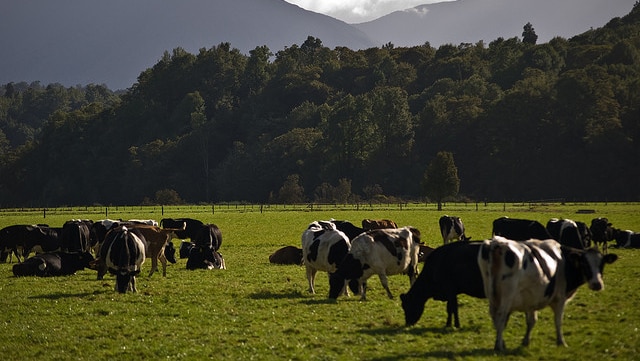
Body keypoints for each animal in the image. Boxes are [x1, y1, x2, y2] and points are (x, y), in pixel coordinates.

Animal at [478, 235, 616, 350]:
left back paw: (501, 343)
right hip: (507, 295)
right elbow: (558, 321)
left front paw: (525, 341)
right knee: (501, 316)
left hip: (493, 295)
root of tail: (498, 243)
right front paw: (561, 342)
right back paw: (499, 346)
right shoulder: (560, 298)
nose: (597, 284)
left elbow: (532, 321)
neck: (563, 261)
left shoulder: (531, 299)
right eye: (584, 263)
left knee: (495, 317)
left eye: (602, 264)